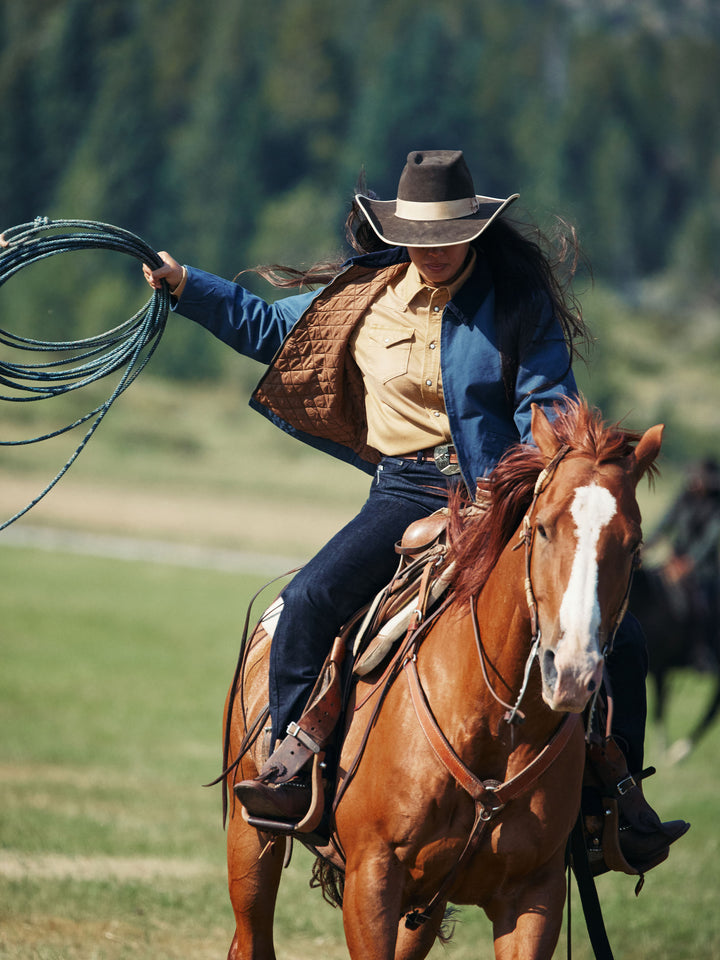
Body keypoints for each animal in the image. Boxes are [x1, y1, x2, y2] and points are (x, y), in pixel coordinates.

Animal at [222, 402, 660, 960]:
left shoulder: (534, 895)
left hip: (425, 907)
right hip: (250, 839)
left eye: (633, 544)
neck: (494, 723)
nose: (572, 672)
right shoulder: (372, 881)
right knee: (251, 935)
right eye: (542, 528)